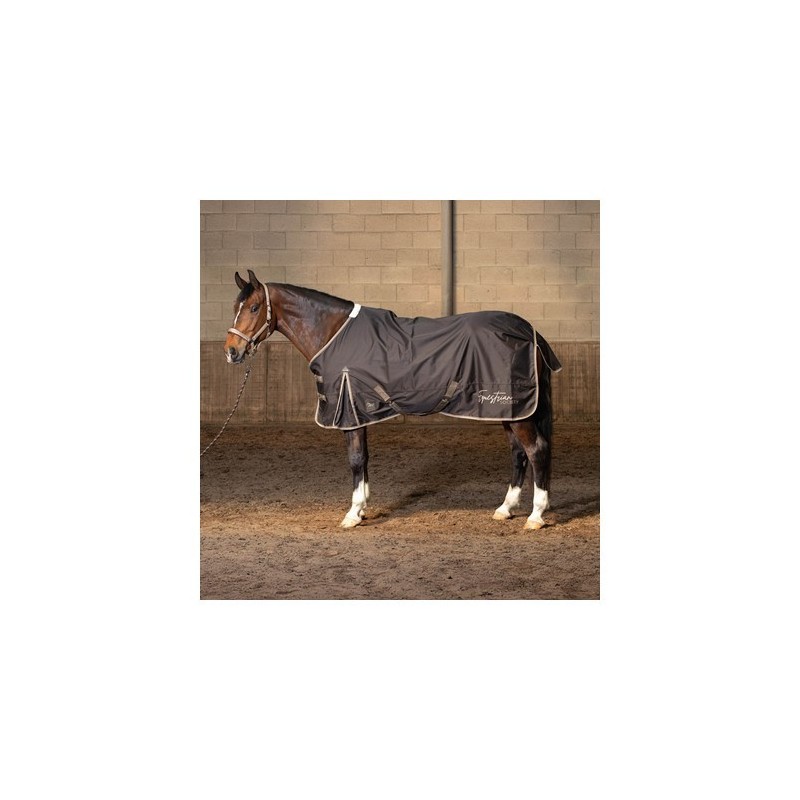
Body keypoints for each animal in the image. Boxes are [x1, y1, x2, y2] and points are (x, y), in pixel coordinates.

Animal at [223, 270, 561, 530]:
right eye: (235, 306)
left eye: (254, 307)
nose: (231, 352)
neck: (334, 333)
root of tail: (530, 332)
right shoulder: (360, 411)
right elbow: (364, 460)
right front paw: (361, 509)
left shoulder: (350, 411)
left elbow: (355, 459)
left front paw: (352, 514)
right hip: (508, 409)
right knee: (518, 454)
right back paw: (505, 509)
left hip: (517, 411)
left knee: (536, 450)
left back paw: (535, 516)